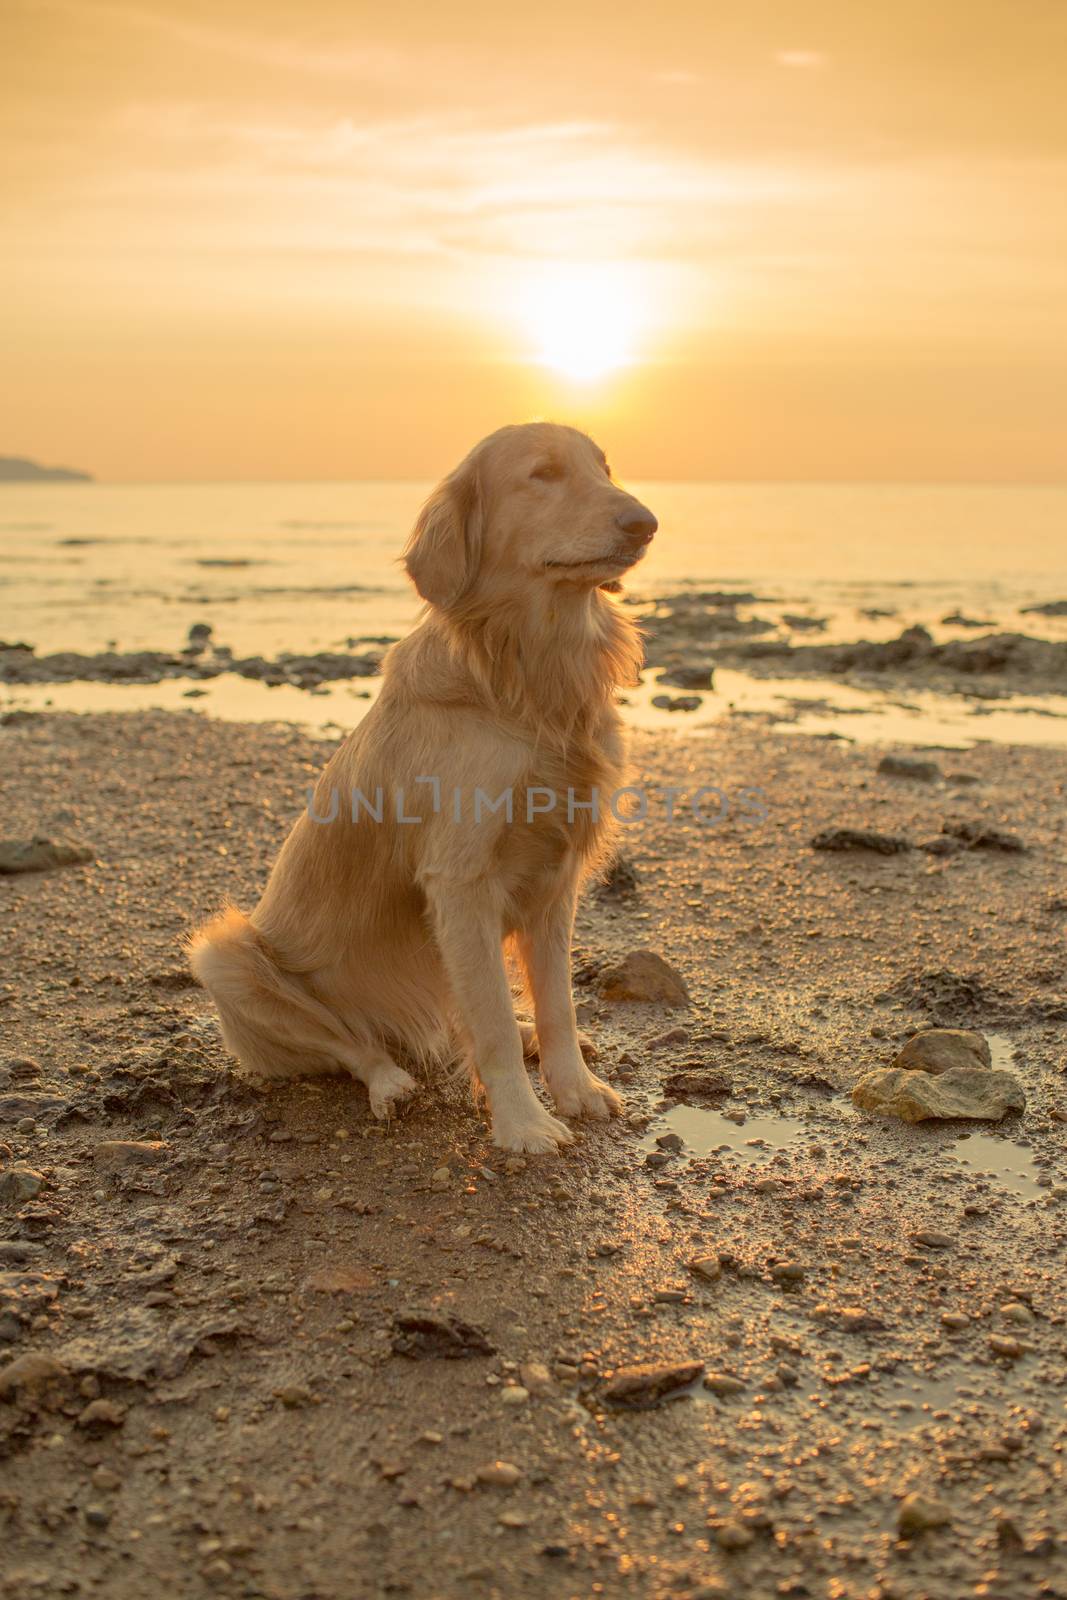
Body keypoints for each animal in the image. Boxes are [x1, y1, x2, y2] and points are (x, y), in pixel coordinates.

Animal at [189, 425, 659, 1152]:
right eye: (544, 473)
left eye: (604, 469)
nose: (644, 522)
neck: (529, 684)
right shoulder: (460, 880)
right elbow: (490, 1023)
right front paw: (523, 1123)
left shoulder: (556, 877)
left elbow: (557, 1005)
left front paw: (574, 1088)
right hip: (225, 957)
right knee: (354, 1047)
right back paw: (390, 1083)